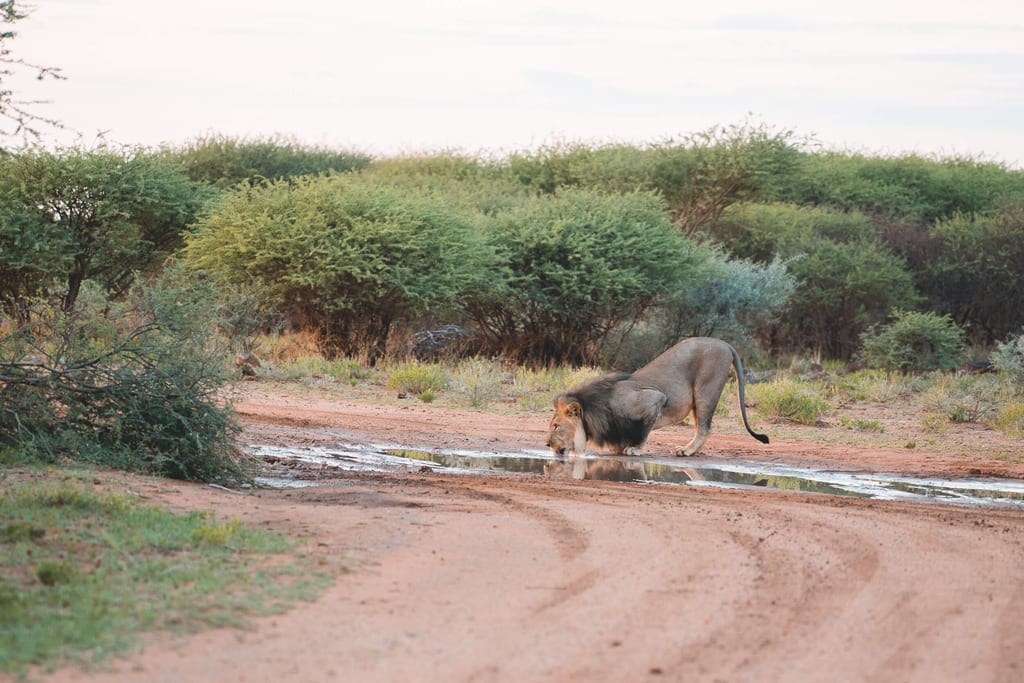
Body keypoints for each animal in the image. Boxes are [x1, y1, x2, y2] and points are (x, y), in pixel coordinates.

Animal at [545, 337, 769, 457]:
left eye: (556, 426)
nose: (547, 445)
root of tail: (724, 344)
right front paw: (619, 448)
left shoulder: (654, 399)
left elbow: (643, 431)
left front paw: (635, 449)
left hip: (706, 390)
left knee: (704, 428)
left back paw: (686, 450)